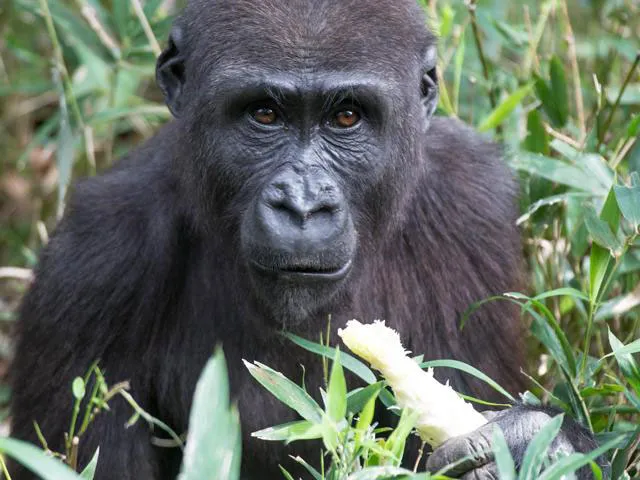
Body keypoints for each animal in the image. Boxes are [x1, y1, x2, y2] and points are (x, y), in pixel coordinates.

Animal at [11, 0, 600, 480]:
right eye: (264, 113)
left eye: (347, 116)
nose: (302, 205)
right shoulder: (93, 260)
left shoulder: (473, 206)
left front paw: (536, 446)